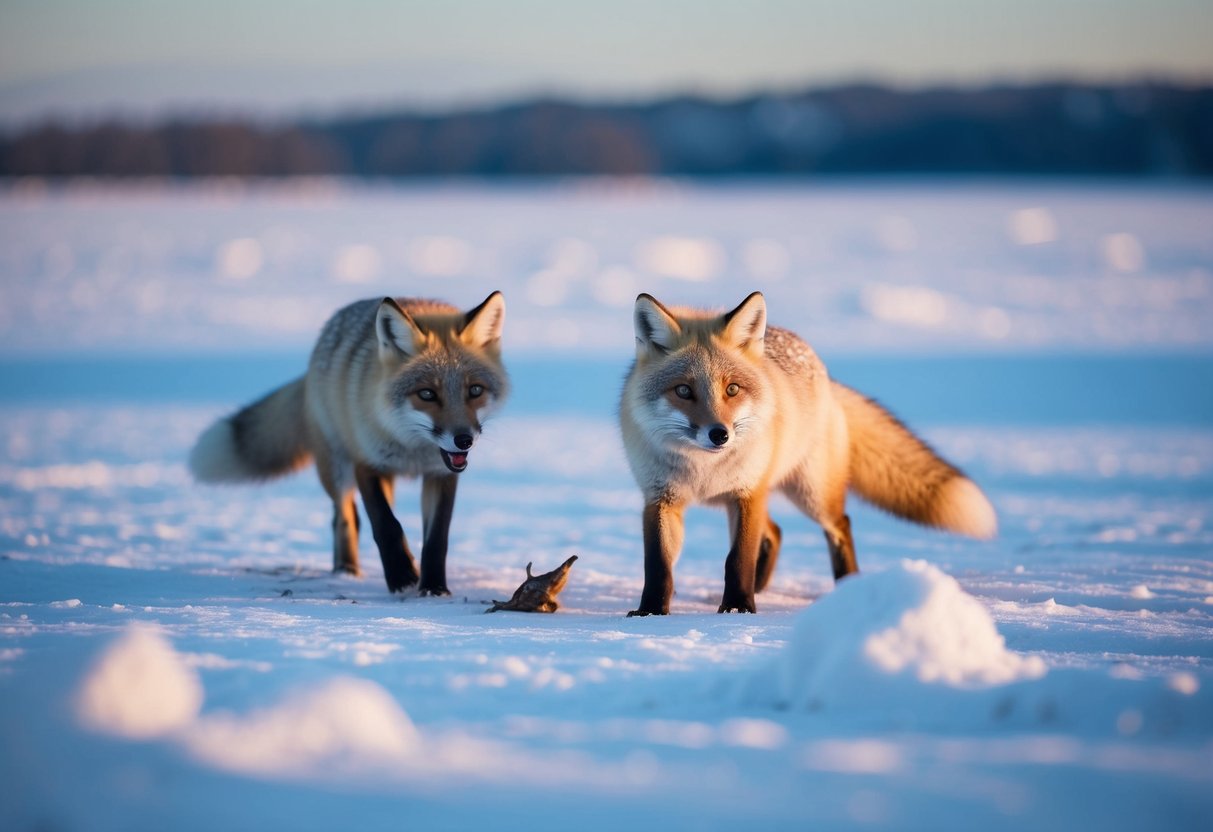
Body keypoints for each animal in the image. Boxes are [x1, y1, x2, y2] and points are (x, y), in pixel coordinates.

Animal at [189, 293, 508, 595]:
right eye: (427, 394)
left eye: (475, 390)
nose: (464, 440)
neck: (410, 449)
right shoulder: (365, 463)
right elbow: (386, 526)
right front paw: (402, 577)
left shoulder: (440, 474)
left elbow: (436, 539)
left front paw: (433, 588)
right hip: (336, 468)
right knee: (344, 517)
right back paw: (346, 571)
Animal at [619, 291, 996, 615]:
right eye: (683, 390)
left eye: (732, 389)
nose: (719, 434)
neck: (702, 471)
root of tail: (827, 378)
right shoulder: (660, 498)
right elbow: (658, 566)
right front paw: (651, 613)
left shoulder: (747, 493)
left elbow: (738, 559)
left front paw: (738, 609)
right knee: (775, 533)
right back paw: (762, 588)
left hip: (810, 494)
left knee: (839, 525)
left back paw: (845, 590)